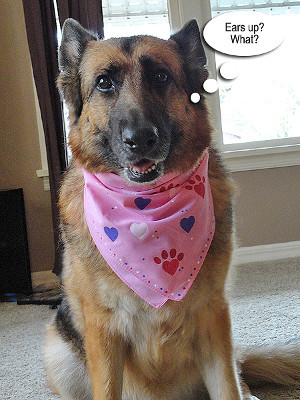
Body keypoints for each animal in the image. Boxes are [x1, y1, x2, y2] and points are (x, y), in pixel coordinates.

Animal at [43, 18, 298, 396]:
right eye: (104, 83)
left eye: (161, 77)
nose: (140, 138)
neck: (146, 207)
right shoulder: (103, 333)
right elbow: (106, 388)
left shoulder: (213, 317)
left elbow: (228, 387)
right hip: (58, 351)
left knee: (238, 373)